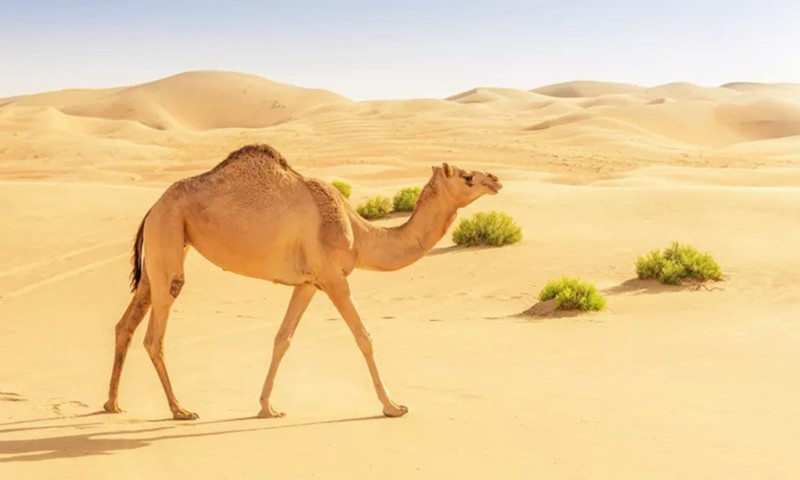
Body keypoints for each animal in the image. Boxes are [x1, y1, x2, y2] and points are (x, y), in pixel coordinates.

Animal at [100, 143, 500, 420]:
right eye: (466, 175)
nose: (494, 179)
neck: (358, 231)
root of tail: (152, 207)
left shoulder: (308, 283)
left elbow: (282, 339)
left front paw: (267, 407)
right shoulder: (333, 277)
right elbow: (364, 337)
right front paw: (393, 405)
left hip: (161, 251)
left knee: (126, 324)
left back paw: (113, 403)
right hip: (169, 238)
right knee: (155, 334)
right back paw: (180, 410)